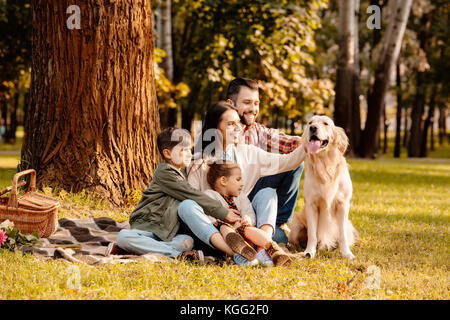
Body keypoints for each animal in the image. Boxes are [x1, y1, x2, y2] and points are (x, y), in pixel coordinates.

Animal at [288, 115, 358, 260]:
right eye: (310, 122)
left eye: (326, 123)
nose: (313, 128)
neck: (325, 165)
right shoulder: (311, 204)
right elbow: (312, 235)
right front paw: (309, 252)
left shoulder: (343, 204)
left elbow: (342, 234)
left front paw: (346, 253)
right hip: (296, 225)